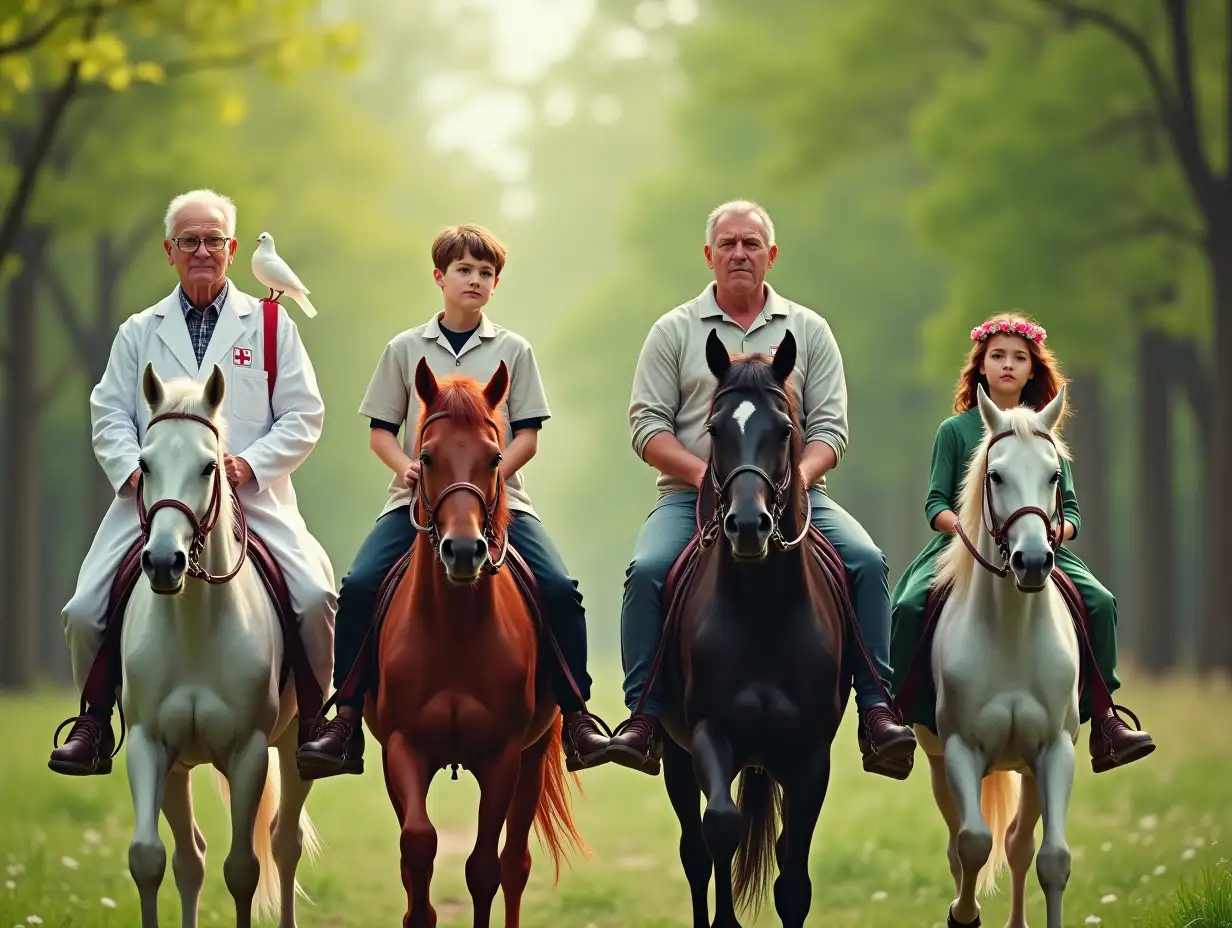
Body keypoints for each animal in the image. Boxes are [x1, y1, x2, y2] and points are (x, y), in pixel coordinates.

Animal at [119, 364, 320, 926]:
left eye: (210, 467)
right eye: (143, 463)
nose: (164, 562)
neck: (193, 627)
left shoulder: (248, 751)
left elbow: (243, 869)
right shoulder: (148, 744)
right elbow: (149, 858)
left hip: (293, 749)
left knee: (284, 844)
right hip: (178, 769)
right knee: (191, 859)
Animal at [364, 357, 581, 921]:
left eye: (495, 457)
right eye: (426, 457)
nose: (464, 551)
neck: (454, 630)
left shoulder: (502, 756)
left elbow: (484, 868)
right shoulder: (403, 748)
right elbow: (417, 845)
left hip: (533, 757)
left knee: (514, 864)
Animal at [660, 330, 852, 921]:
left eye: (784, 429)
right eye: (715, 430)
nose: (748, 525)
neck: (763, 610)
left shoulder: (810, 755)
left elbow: (794, 877)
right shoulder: (709, 734)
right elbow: (723, 827)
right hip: (674, 754)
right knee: (694, 852)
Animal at [921, 382, 1084, 926]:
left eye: (1054, 475)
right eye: (996, 475)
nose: (1032, 560)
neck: (1011, 634)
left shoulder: (1055, 749)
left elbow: (1052, 859)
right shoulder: (959, 749)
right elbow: (972, 843)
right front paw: (963, 914)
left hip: (1030, 770)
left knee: (1018, 845)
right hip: (937, 763)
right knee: (959, 842)